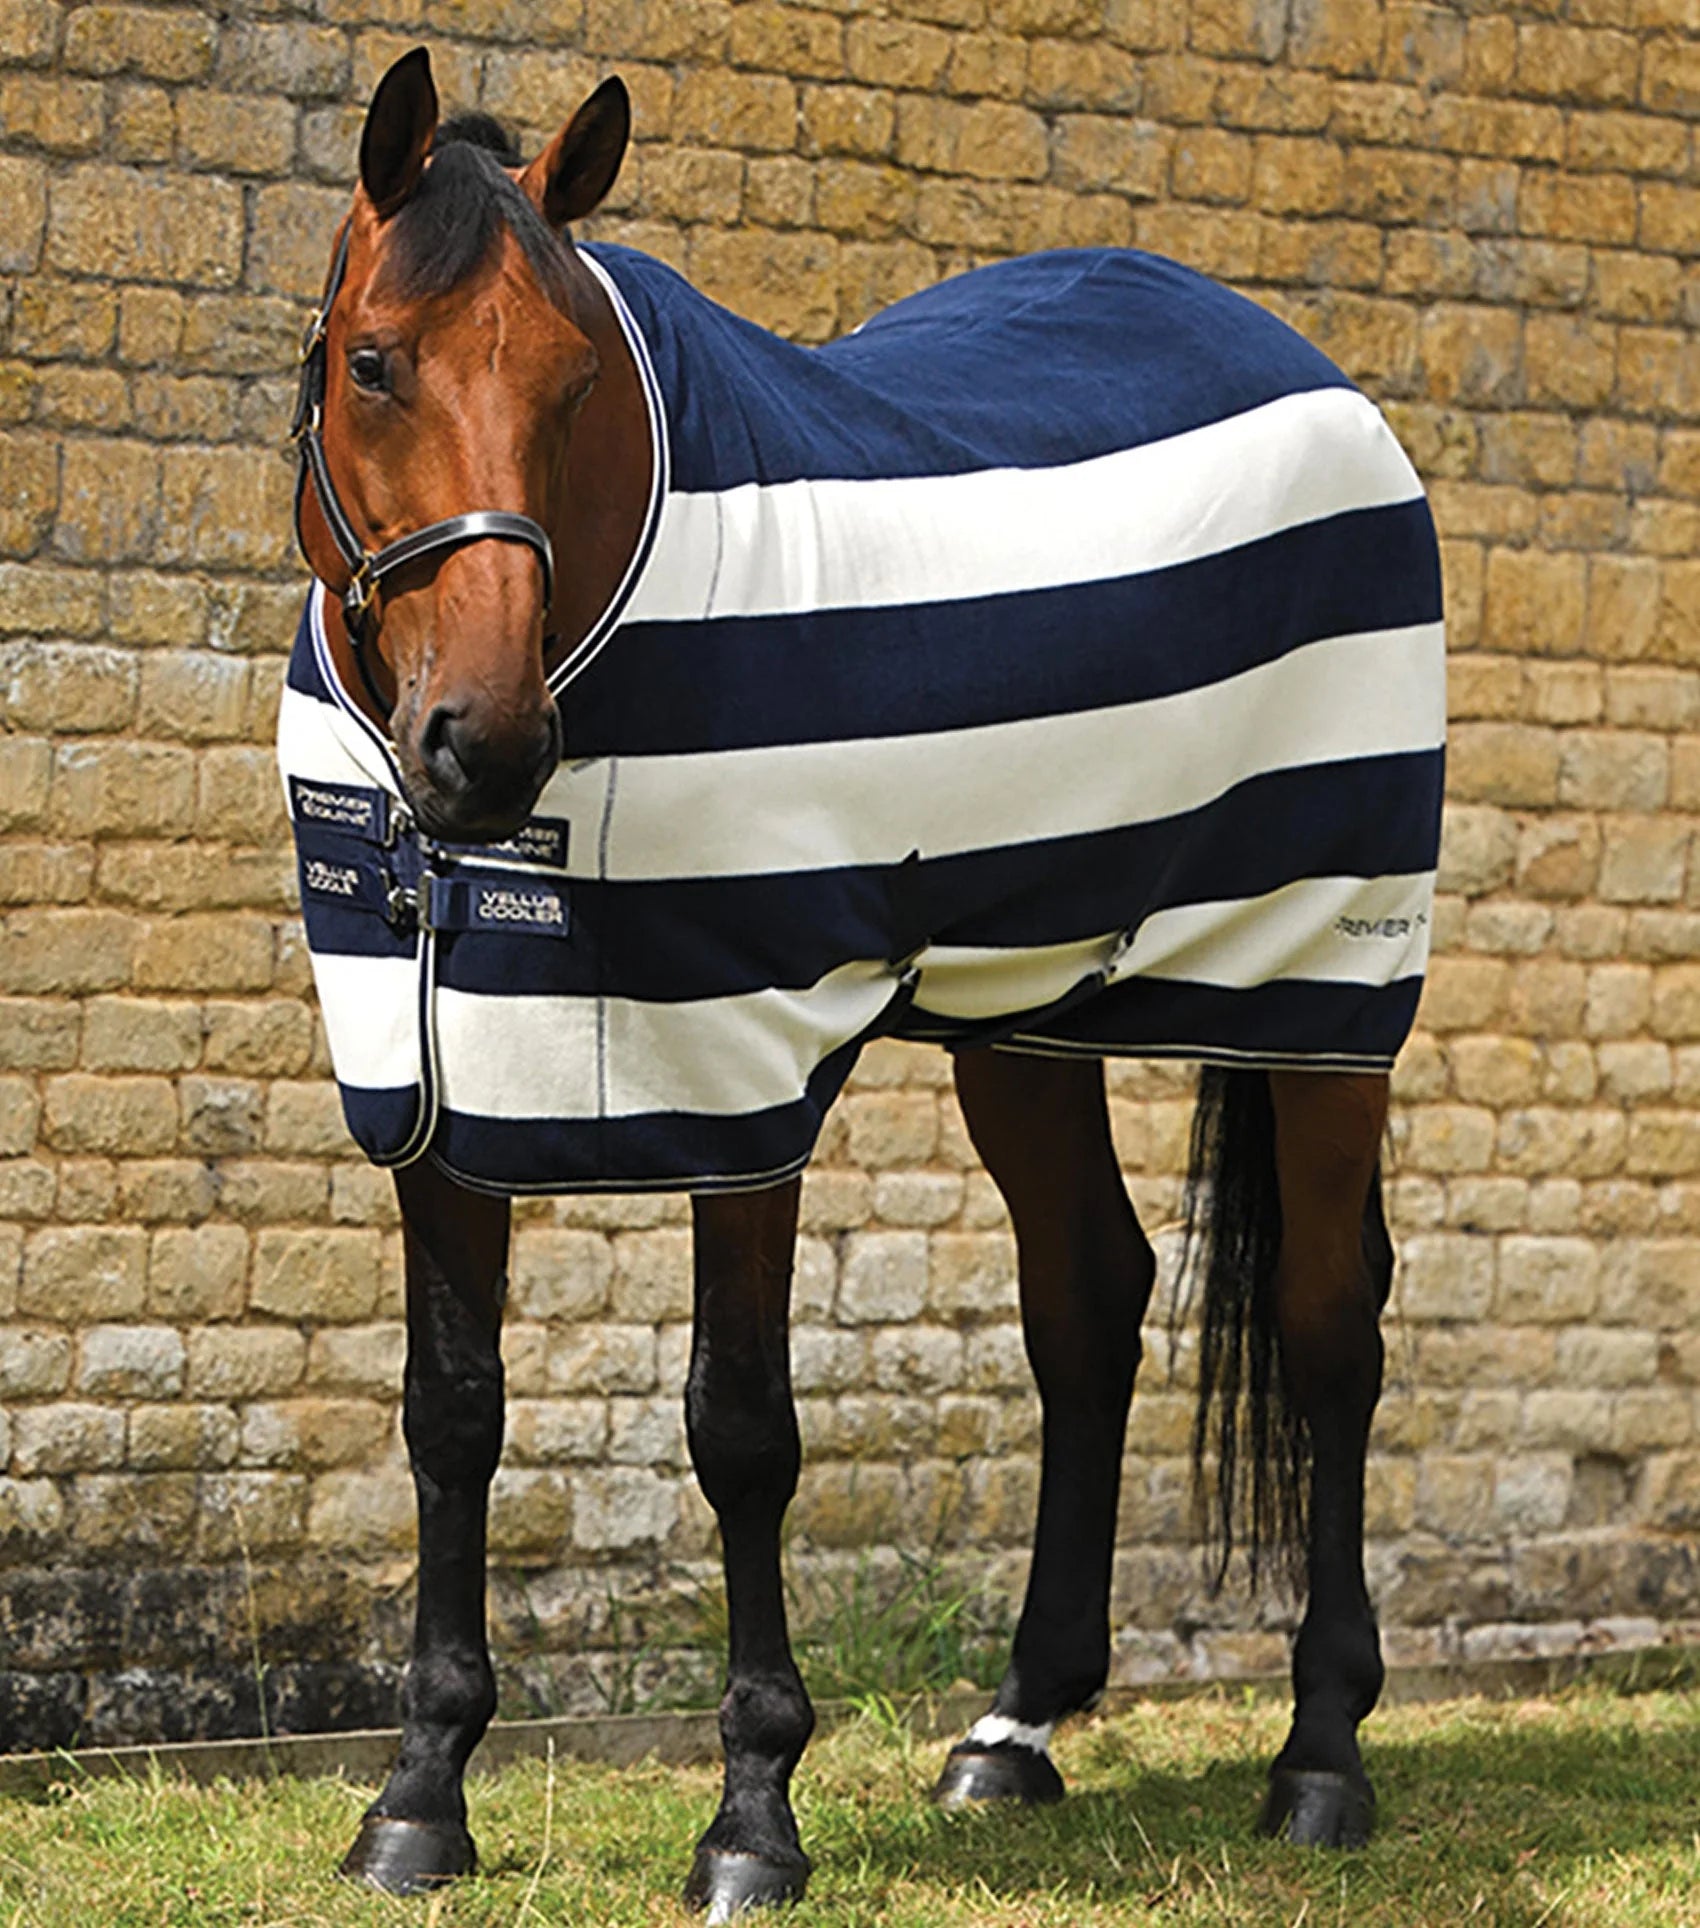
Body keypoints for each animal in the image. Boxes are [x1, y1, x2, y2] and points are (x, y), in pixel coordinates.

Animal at [280, 47, 1445, 1918]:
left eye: (576, 375)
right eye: (374, 361)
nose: (486, 745)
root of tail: (1313, 370)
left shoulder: (739, 1070)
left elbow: (742, 1428)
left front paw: (752, 1815)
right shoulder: (429, 1072)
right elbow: (450, 1414)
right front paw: (420, 1797)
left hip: (1325, 996)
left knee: (1333, 1326)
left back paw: (1322, 1756)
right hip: (1030, 1008)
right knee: (1090, 1299)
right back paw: (1016, 1728)